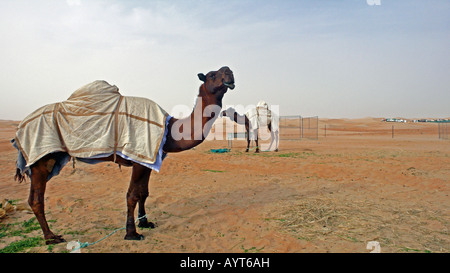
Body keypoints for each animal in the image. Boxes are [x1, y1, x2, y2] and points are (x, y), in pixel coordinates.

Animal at [13, 66, 236, 244]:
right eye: (212, 74)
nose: (229, 72)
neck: (169, 129)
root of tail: (20, 128)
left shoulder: (148, 160)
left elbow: (144, 193)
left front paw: (145, 222)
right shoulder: (139, 156)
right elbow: (132, 195)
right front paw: (132, 233)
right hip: (41, 158)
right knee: (36, 199)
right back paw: (51, 237)